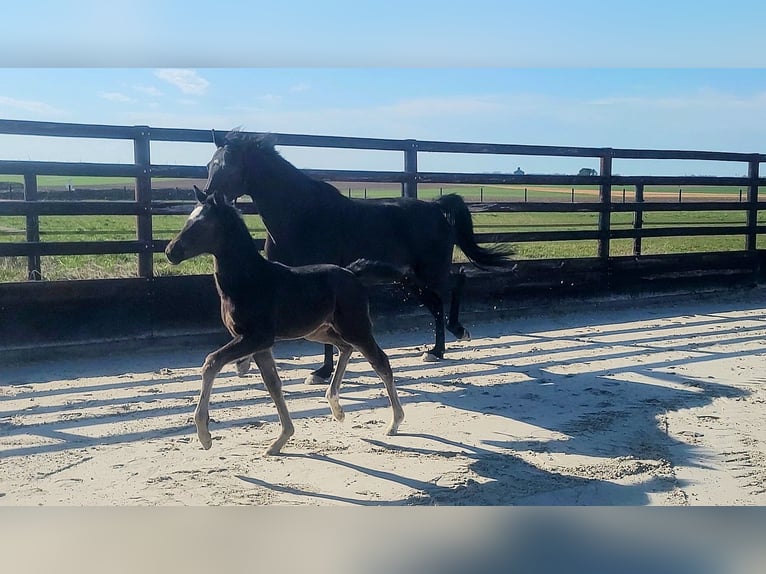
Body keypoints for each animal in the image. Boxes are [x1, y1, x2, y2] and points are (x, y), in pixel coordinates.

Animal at [165, 187, 405, 455]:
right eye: (188, 219)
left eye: (202, 223)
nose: (170, 251)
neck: (249, 279)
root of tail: (352, 273)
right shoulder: (259, 344)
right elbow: (273, 385)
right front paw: (281, 439)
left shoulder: (257, 337)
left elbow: (212, 362)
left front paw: (204, 434)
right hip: (318, 330)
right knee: (345, 348)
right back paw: (336, 407)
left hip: (356, 327)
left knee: (380, 362)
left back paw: (394, 423)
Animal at [200, 129, 515, 383]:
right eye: (208, 165)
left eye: (228, 165)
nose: (205, 198)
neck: (301, 216)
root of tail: (436, 207)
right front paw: (245, 364)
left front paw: (322, 372)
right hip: (411, 278)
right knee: (437, 303)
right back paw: (435, 352)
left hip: (431, 271)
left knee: (457, 282)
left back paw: (458, 331)